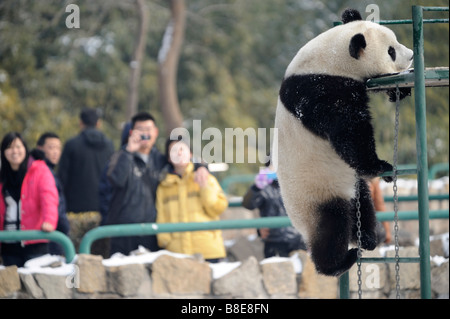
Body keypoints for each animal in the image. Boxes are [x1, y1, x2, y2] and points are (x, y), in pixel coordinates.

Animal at [272, 8, 414, 276]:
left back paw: (367, 237)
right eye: (391, 50)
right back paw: (338, 262)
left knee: (363, 203)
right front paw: (381, 166)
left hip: (350, 186)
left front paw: (399, 90)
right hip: (316, 195)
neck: (329, 59)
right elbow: (349, 132)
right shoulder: (320, 91)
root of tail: (297, 223)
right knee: (333, 227)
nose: (411, 55)